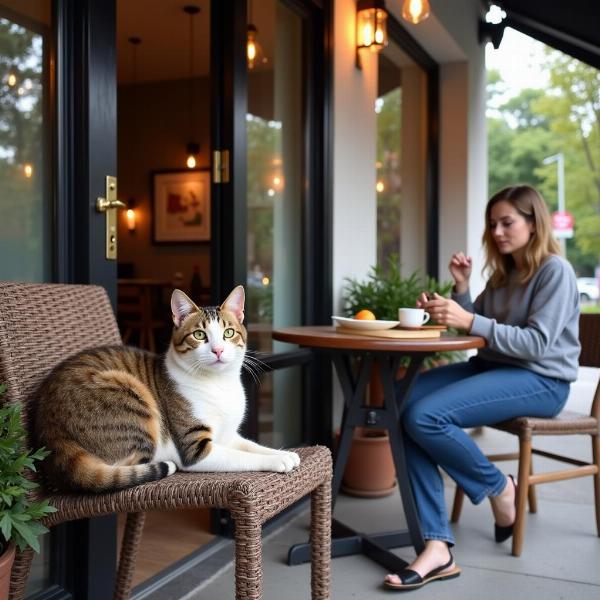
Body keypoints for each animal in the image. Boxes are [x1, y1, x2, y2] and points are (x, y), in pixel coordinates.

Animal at [32, 286, 300, 492]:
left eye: (229, 332)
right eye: (199, 335)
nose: (218, 350)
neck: (219, 384)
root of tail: (49, 428)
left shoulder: (228, 435)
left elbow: (253, 445)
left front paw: (283, 453)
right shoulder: (195, 448)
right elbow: (245, 456)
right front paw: (278, 460)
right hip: (128, 393)